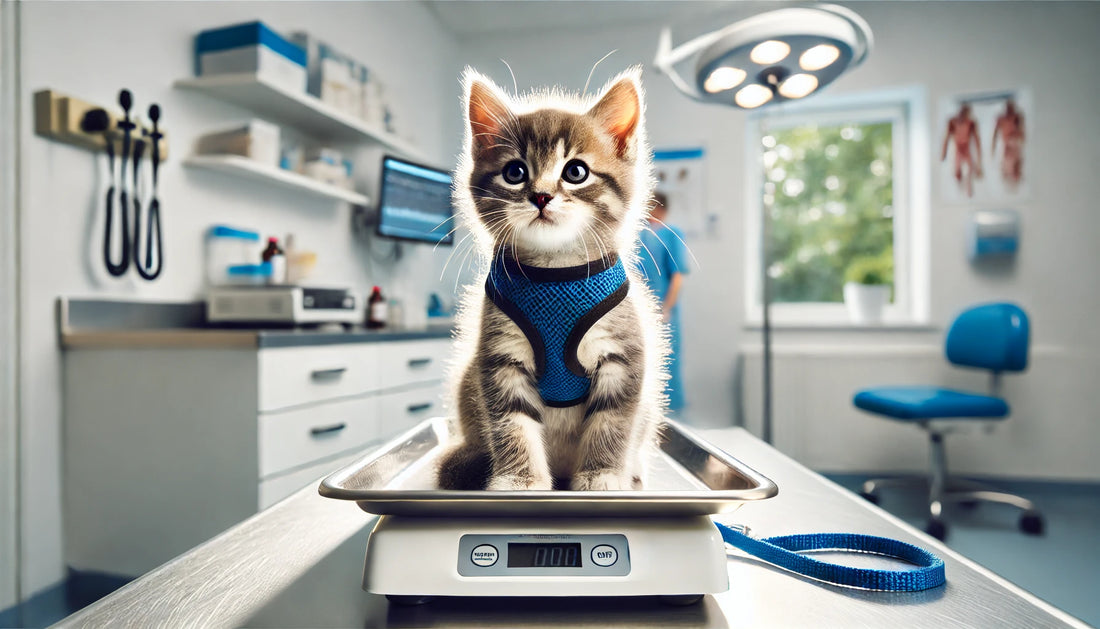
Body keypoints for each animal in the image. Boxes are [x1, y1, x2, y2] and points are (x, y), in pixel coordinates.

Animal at [437, 67, 668, 490]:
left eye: (575, 172)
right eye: (515, 172)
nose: (541, 196)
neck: (555, 270)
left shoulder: (623, 355)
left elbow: (612, 421)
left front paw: (602, 475)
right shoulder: (500, 356)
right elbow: (511, 423)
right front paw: (519, 481)